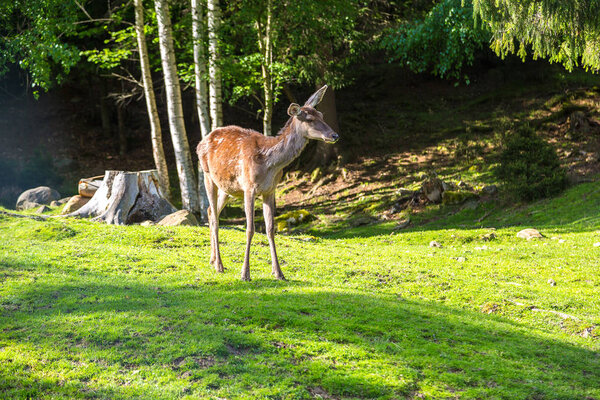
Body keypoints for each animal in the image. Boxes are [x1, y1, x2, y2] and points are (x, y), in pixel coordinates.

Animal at [197, 85, 338, 280]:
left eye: (322, 115)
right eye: (309, 119)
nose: (335, 135)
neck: (269, 164)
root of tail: (200, 142)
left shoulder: (270, 190)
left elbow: (270, 229)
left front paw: (278, 272)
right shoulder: (249, 188)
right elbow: (250, 229)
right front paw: (245, 274)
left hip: (227, 187)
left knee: (211, 212)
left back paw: (212, 260)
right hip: (208, 175)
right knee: (215, 218)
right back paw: (219, 265)